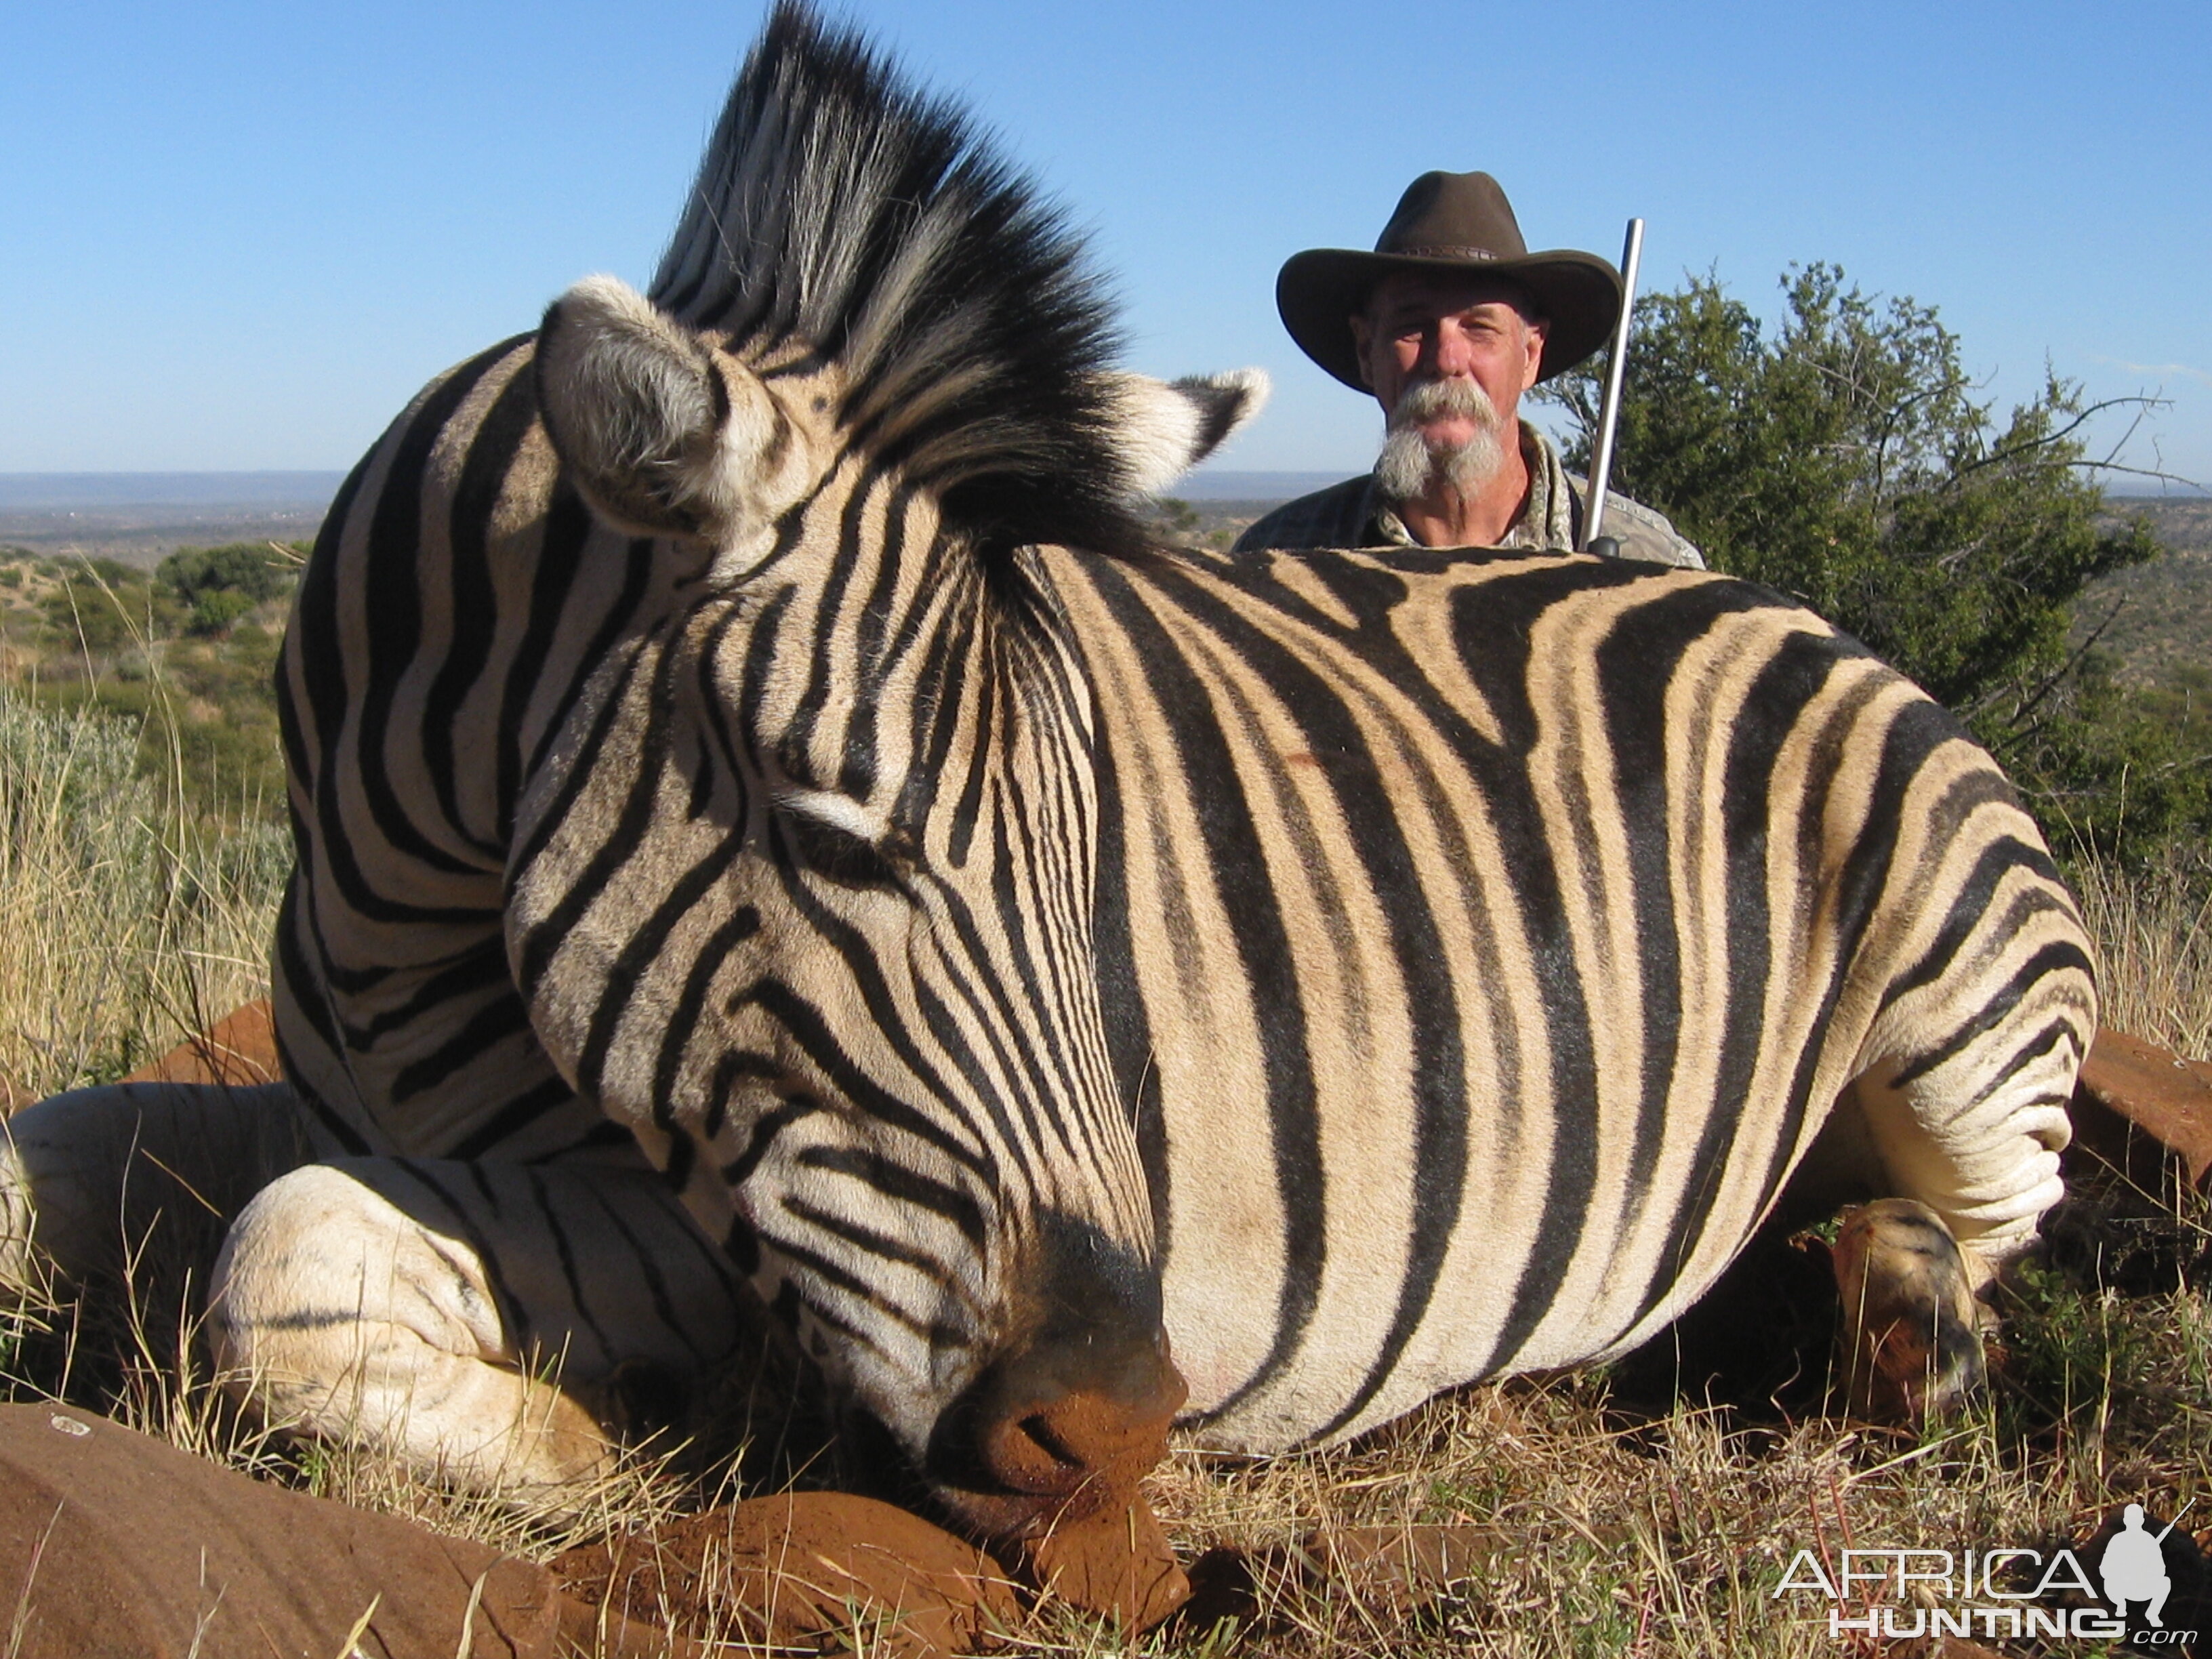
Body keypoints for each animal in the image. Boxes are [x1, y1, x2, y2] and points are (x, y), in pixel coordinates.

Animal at [0, 3, 2079, 1557]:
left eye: (1099, 860)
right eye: (828, 831)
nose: (1119, 1428)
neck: (404, 918)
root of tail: (1779, 602)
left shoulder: (722, 1237)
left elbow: (287, 1256)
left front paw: (617, 1451)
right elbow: (72, 1156)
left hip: (1965, 1014)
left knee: (1971, 1226)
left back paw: (1897, 1331)